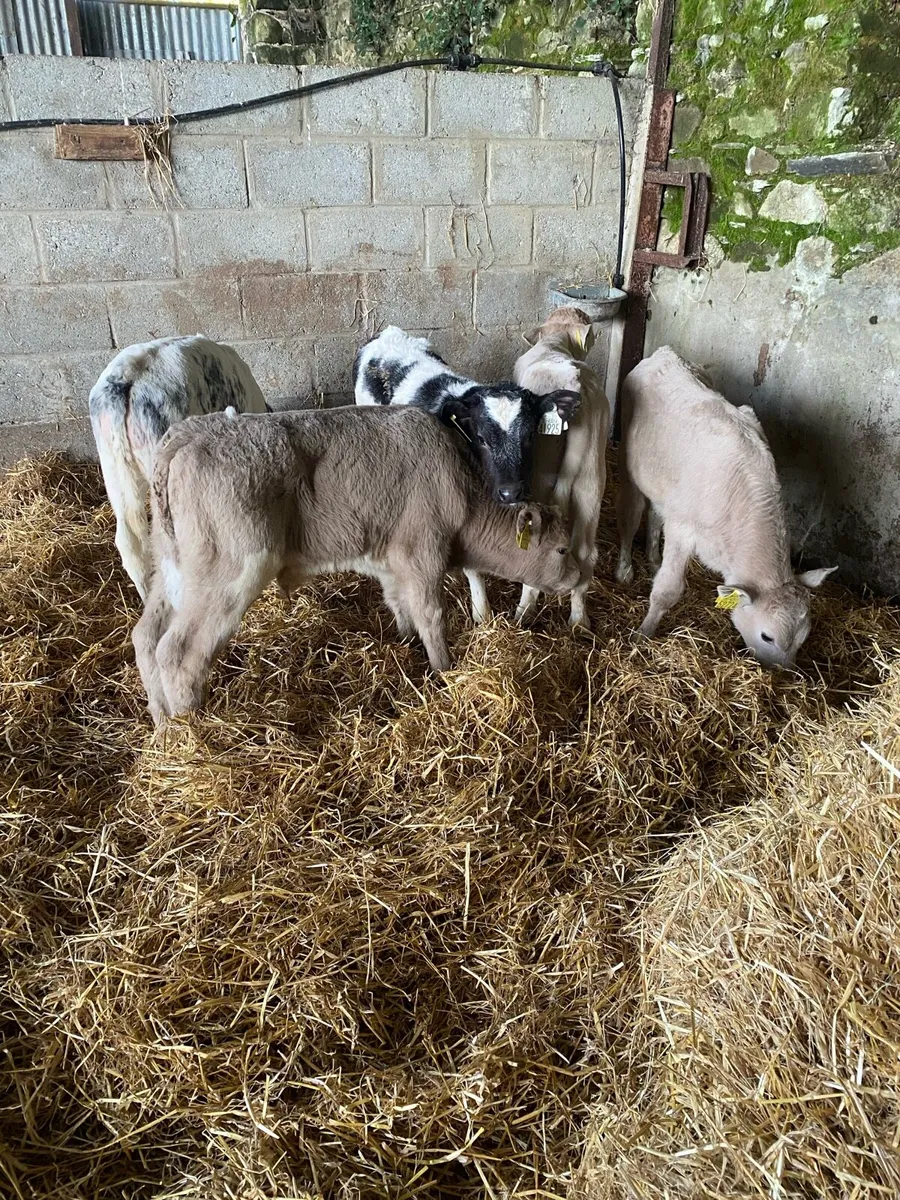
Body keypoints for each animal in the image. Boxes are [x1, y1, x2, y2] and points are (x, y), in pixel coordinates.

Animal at [133, 405, 580, 722]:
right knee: (178, 651)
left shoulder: (389, 560)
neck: (461, 492)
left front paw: (404, 646)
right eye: (562, 549)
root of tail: (187, 433)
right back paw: (194, 733)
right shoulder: (422, 552)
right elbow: (431, 614)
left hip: (173, 566)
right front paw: (444, 671)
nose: (579, 577)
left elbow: (400, 606)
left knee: (146, 636)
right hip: (231, 570)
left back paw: (163, 727)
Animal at [616, 346, 836, 666]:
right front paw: (643, 633)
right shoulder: (682, 528)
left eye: (803, 638)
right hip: (629, 464)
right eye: (767, 636)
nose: (780, 672)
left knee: (656, 516)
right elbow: (667, 590)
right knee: (630, 516)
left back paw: (654, 558)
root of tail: (666, 353)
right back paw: (624, 569)